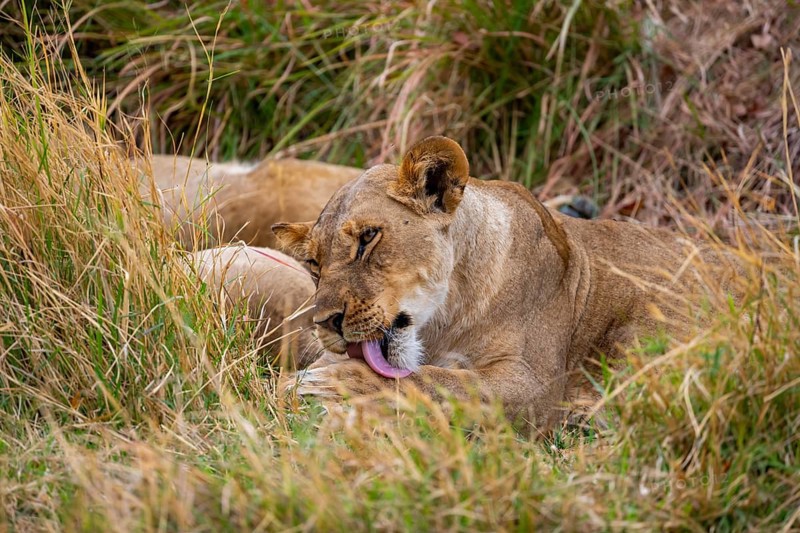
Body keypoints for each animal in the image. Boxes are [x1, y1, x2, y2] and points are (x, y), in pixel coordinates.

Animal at [272, 136, 741, 429]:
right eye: (313, 263)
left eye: (368, 238)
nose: (326, 322)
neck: (443, 319)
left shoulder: (534, 384)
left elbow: (441, 381)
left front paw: (328, 383)